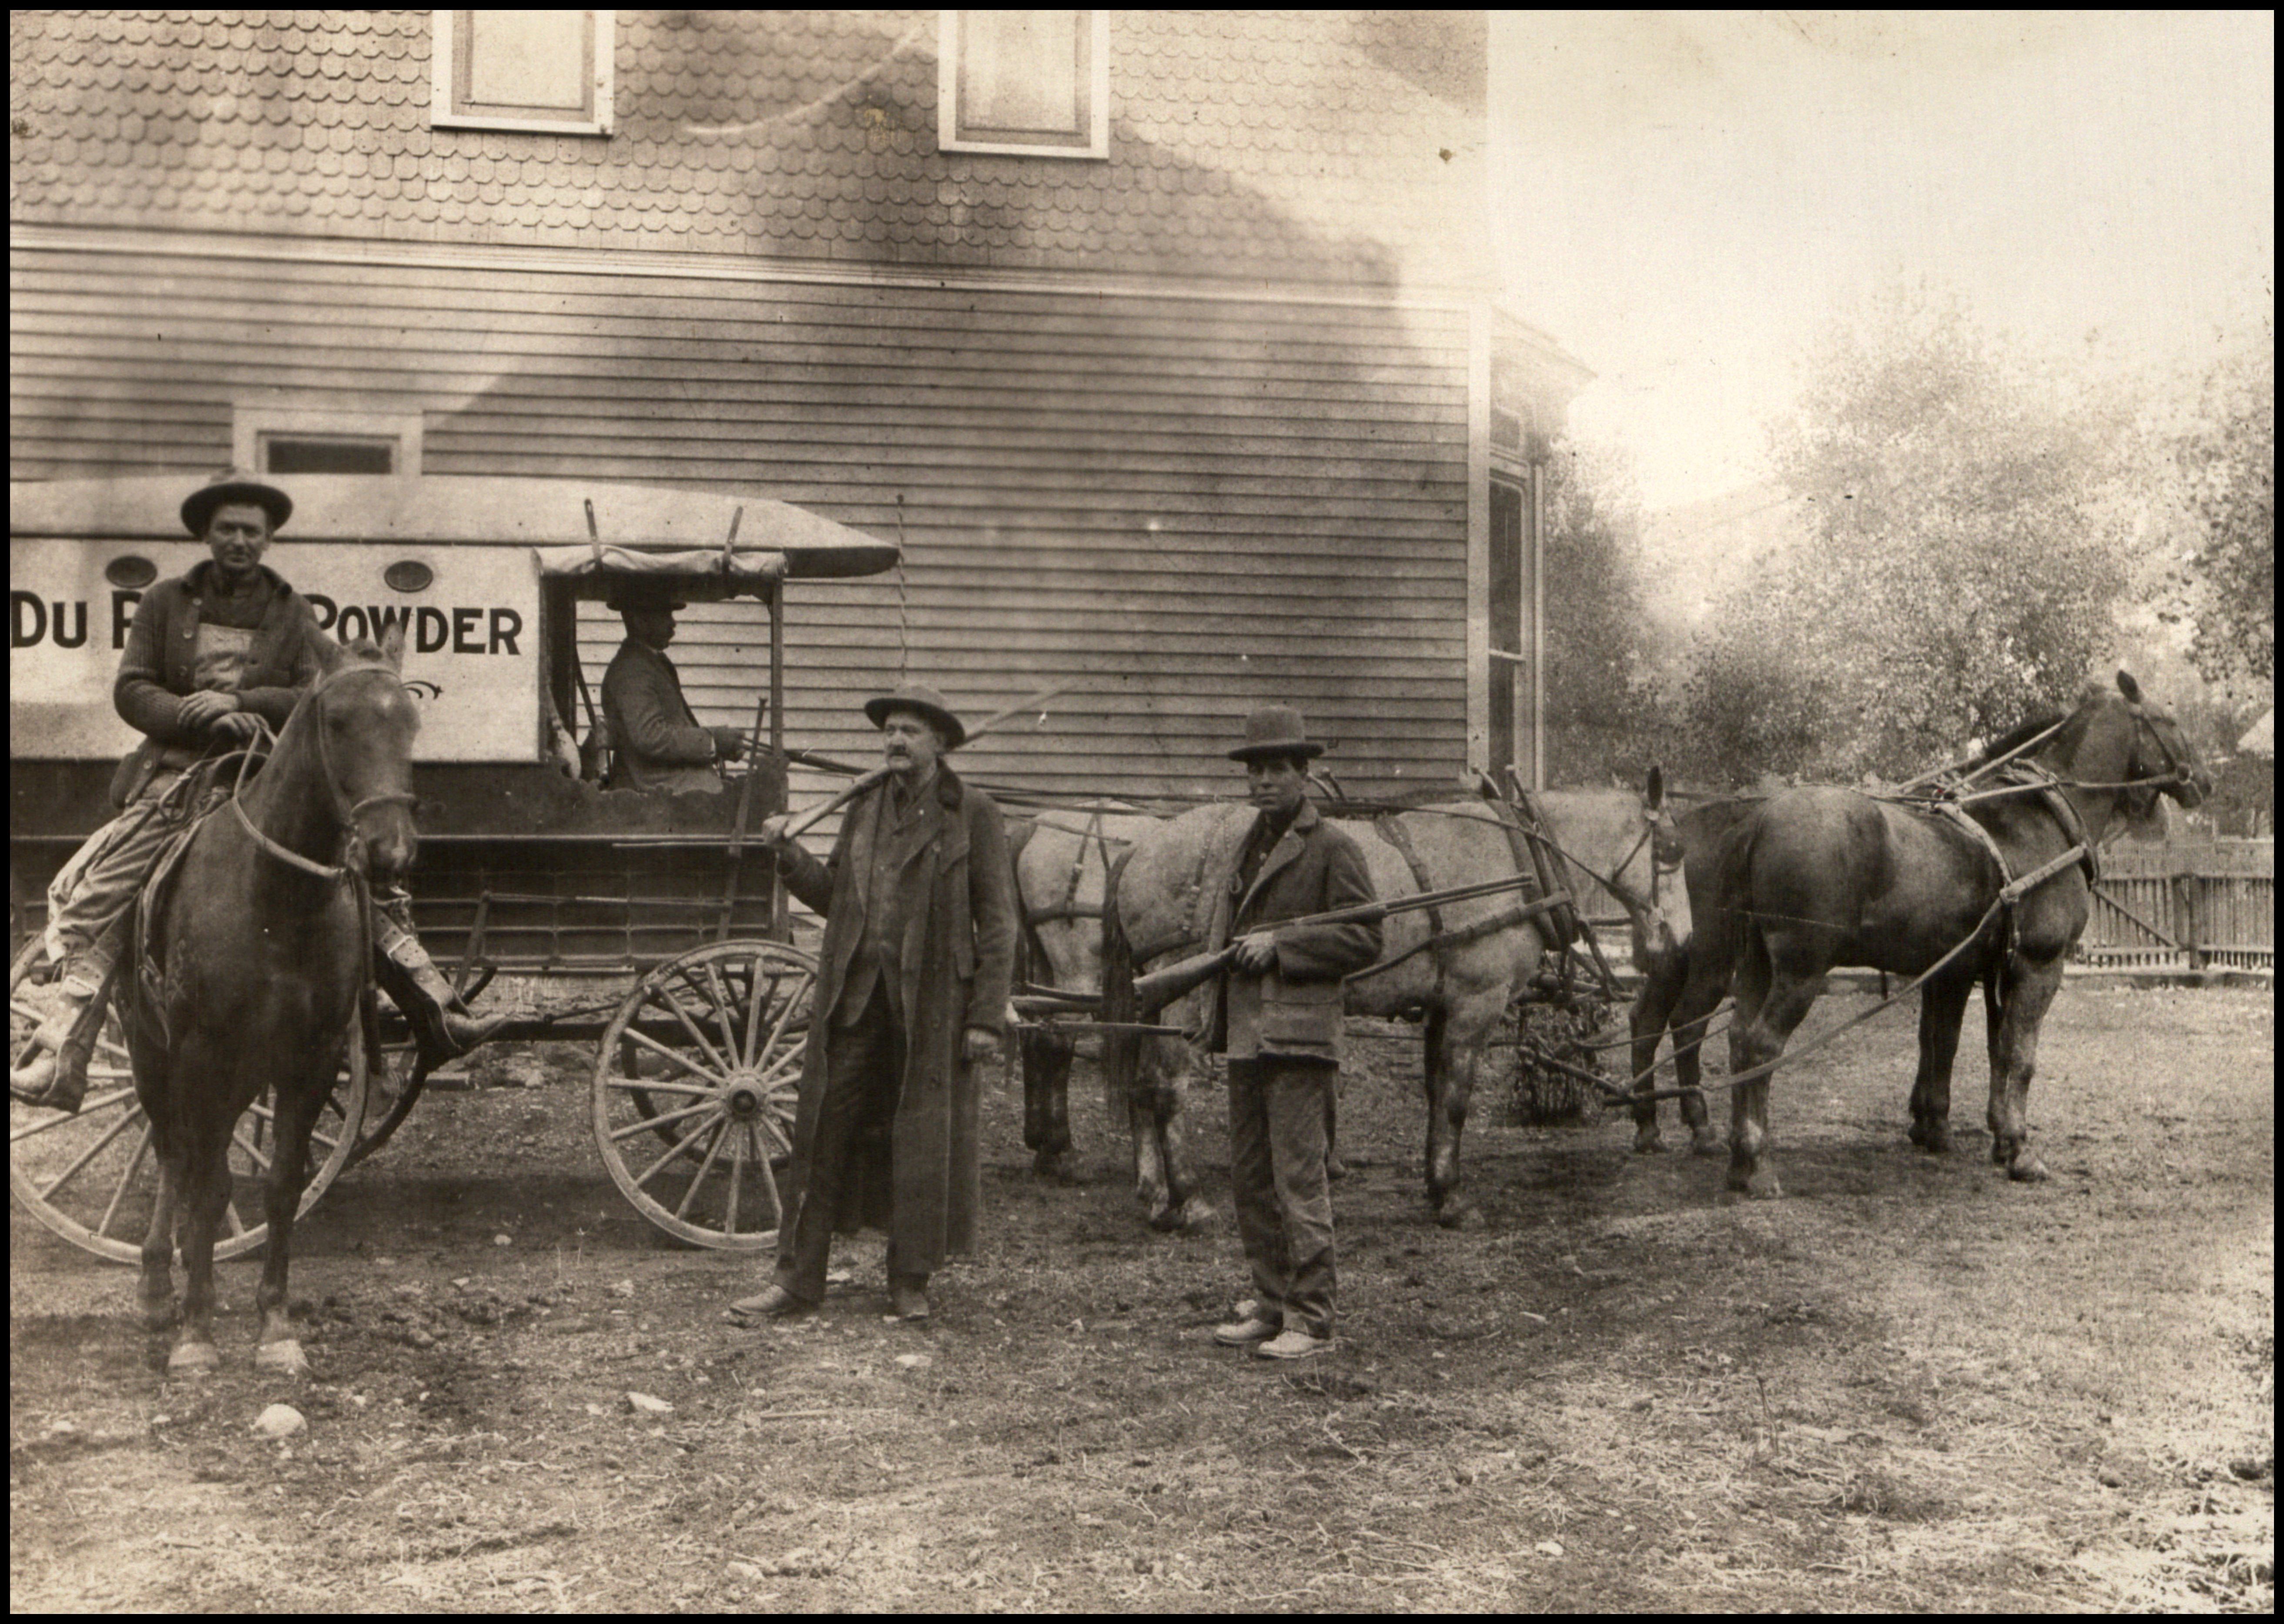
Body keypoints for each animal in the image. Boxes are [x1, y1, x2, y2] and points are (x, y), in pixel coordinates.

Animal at [123, 630, 422, 1380]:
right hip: (152, 1055)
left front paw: (275, 1324)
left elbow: (282, 1184)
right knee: (172, 1153)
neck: (277, 900)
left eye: (410, 721)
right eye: (337, 722)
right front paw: (196, 1330)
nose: (391, 850)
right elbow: (204, 1184)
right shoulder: (200, 1053)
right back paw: (158, 1287)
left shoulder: (309, 1062)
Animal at [1681, 667, 2193, 1196]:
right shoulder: (2037, 967)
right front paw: (2018, 1149)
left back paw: (1739, 1160)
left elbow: (1965, 1045)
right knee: (1759, 1045)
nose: (2205, 779)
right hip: (1800, 972)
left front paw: (1966, 1132)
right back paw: (1757, 1162)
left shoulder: (1972, 970)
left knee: (1738, 1040)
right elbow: (2018, 1054)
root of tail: (1759, 820)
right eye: (2171, 720)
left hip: (1755, 965)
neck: (2039, 816)